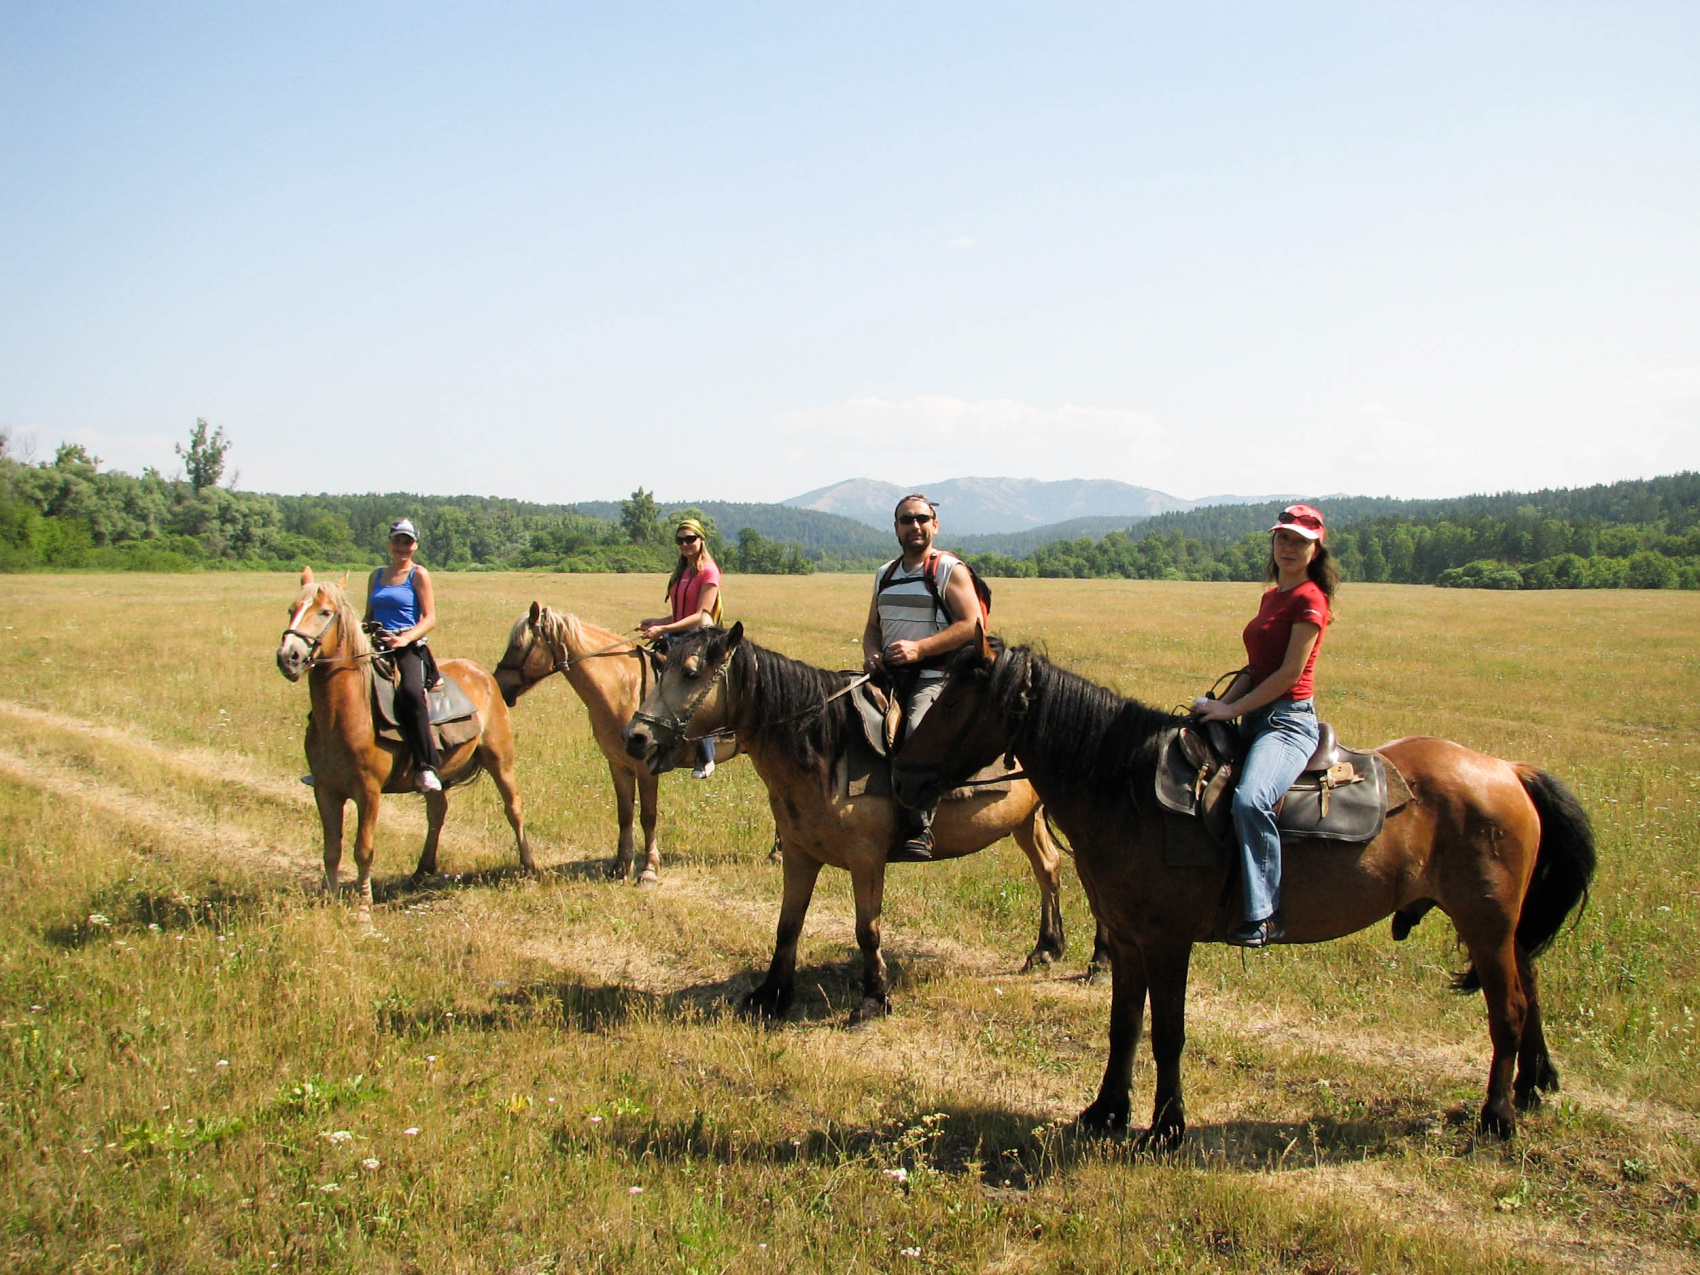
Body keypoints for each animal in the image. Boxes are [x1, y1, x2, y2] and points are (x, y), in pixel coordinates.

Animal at [625, 625, 1101, 1033]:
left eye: (691, 673)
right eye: (662, 666)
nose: (635, 737)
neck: (825, 748)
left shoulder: (867, 859)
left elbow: (866, 931)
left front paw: (873, 1000)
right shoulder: (798, 854)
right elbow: (788, 924)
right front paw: (772, 994)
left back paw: (1099, 962)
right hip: (1026, 819)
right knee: (1049, 868)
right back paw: (1047, 948)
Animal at [897, 635, 1598, 1156]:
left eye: (953, 702)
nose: (903, 772)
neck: (1124, 785)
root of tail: (1508, 770)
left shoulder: (1166, 941)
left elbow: (1167, 1032)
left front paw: (1166, 1129)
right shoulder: (1125, 938)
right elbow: (1124, 1026)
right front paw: (1106, 1112)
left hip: (1486, 923)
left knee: (1507, 1010)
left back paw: (1497, 1118)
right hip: (1500, 928)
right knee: (1528, 985)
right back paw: (1533, 1086)